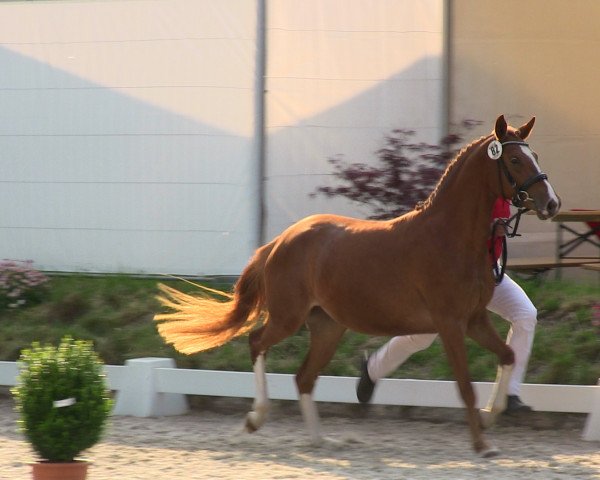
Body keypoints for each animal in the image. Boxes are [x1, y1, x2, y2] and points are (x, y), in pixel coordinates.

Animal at [154, 114, 556, 456]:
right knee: (257, 344)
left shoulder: (474, 319)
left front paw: (491, 418)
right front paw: (482, 445)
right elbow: (465, 387)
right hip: (288, 318)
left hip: (328, 326)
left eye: (535, 155)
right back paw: (255, 420)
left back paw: (321, 440)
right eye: (515, 160)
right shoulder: (450, 324)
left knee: (303, 378)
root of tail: (279, 241)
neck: (449, 236)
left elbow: (508, 356)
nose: (552, 203)